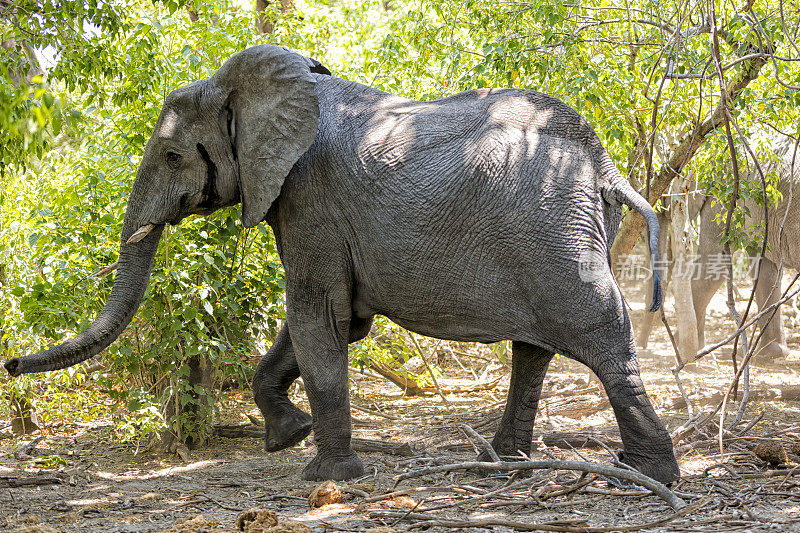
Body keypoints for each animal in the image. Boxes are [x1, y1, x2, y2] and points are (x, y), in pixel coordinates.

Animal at [6, 44, 680, 482]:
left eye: (172, 156)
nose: (10, 364)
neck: (258, 88)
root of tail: (606, 165)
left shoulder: (309, 194)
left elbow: (317, 316)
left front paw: (327, 477)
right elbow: (330, 322)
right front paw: (288, 437)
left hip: (556, 229)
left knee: (598, 330)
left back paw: (652, 475)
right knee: (535, 347)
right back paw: (506, 462)